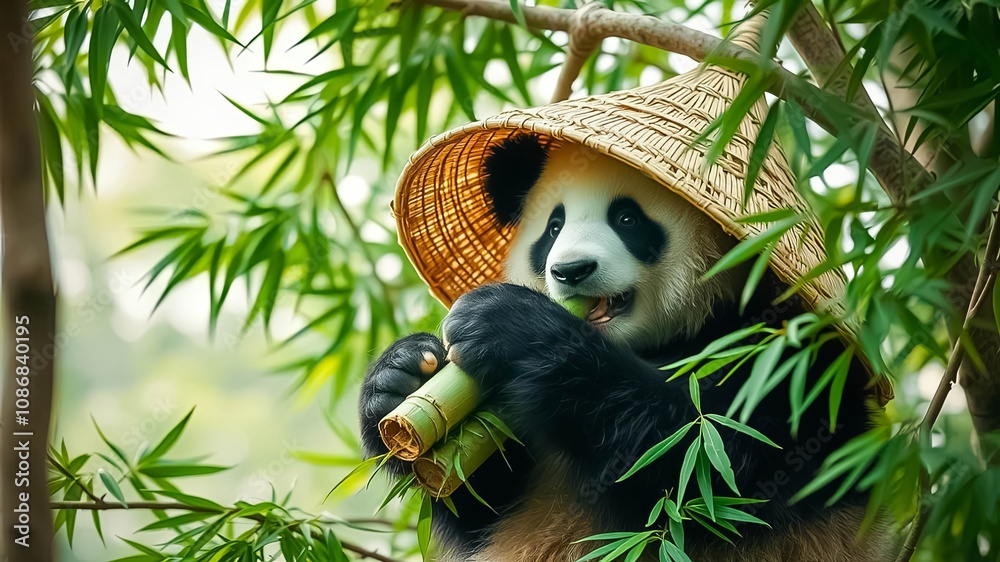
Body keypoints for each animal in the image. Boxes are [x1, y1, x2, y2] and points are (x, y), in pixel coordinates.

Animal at [360, 133, 895, 561]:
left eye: (626, 218)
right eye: (553, 227)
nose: (570, 271)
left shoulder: (793, 353)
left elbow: (712, 459)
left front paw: (508, 326)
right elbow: (476, 499)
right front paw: (402, 374)